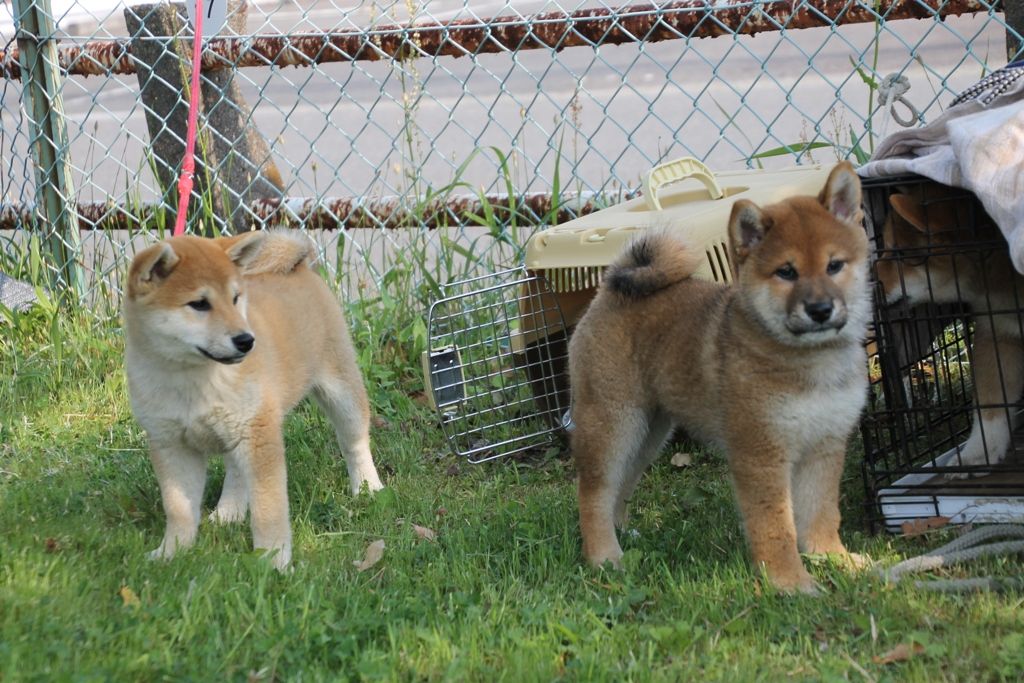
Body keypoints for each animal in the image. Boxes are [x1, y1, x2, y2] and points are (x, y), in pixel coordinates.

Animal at [123, 229, 384, 570]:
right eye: (199, 304)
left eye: (235, 298)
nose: (246, 340)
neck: (192, 379)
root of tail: (300, 267)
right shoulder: (170, 444)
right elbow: (178, 509)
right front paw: (172, 552)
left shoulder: (260, 438)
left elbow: (268, 512)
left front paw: (273, 562)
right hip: (238, 428)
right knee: (236, 473)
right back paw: (228, 512)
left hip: (339, 390)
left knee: (354, 442)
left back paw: (367, 487)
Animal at [568, 162, 870, 594]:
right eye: (786, 272)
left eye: (834, 266)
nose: (820, 309)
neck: (811, 362)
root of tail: (610, 291)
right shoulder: (760, 453)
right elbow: (776, 527)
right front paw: (789, 582)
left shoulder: (825, 445)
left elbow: (822, 513)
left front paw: (833, 558)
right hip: (613, 422)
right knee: (593, 491)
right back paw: (604, 556)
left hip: (648, 432)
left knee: (620, 483)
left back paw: (622, 532)